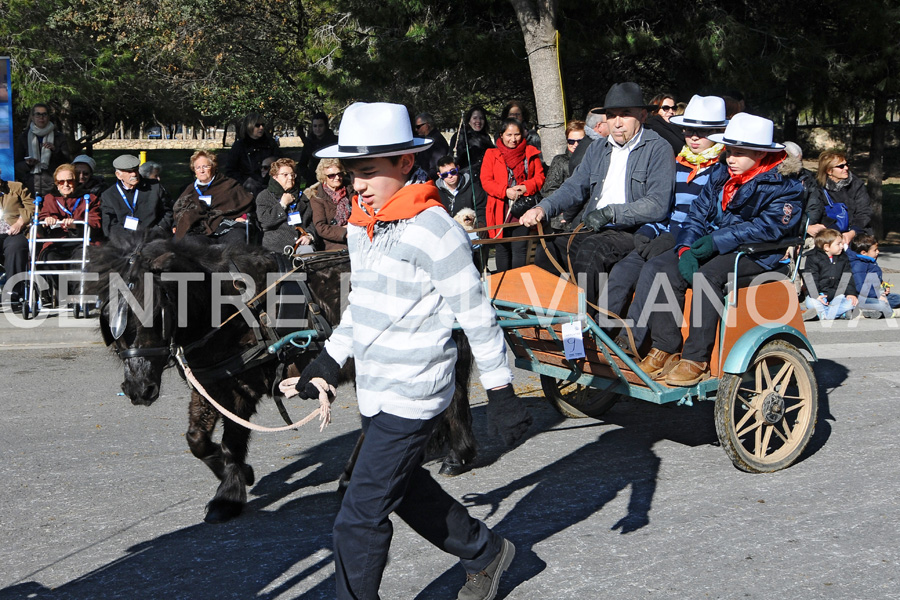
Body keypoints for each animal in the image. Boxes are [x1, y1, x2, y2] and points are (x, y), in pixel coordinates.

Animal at [89, 232, 478, 524]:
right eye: (111, 318)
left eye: (157, 311)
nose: (138, 388)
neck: (228, 306)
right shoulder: (214, 384)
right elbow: (198, 440)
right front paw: (237, 476)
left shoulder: (240, 390)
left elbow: (230, 442)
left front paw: (229, 494)